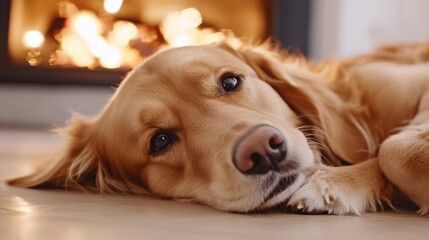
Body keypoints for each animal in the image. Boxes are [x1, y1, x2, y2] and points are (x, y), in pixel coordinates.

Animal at [8, 40, 428, 215]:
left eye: (230, 82)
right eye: (160, 141)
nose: (263, 148)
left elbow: (392, 148)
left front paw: (334, 181)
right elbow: (391, 150)